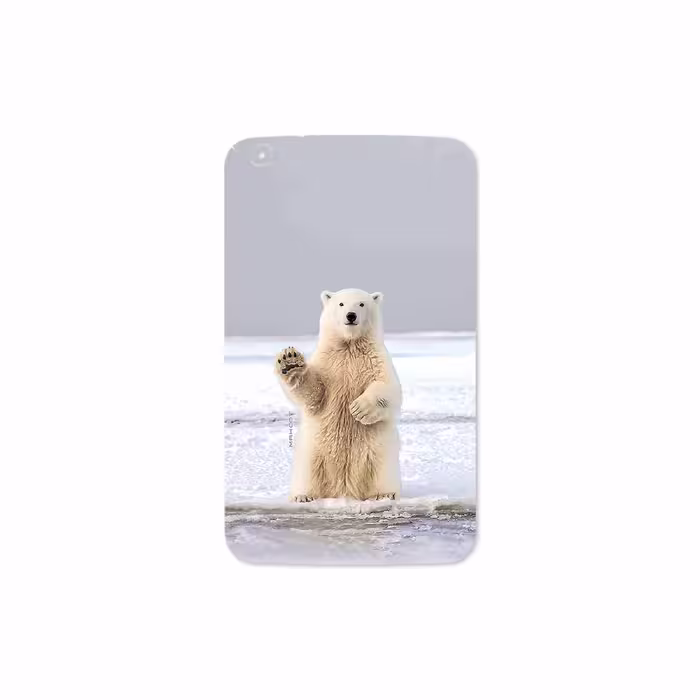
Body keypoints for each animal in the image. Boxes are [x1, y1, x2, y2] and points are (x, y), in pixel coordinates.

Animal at [275, 288, 402, 502]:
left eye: (361, 304)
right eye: (341, 304)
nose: (351, 316)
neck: (349, 345)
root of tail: (344, 490)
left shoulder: (376, 360)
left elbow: (389, 389)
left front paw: (359, 409)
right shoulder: (328, 364)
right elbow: (314, 393)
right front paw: (290, 362)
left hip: (380, 451)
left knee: (382, 470)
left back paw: (385, 494)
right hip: (313, 450)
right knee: (307, 472)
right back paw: (303, 496)